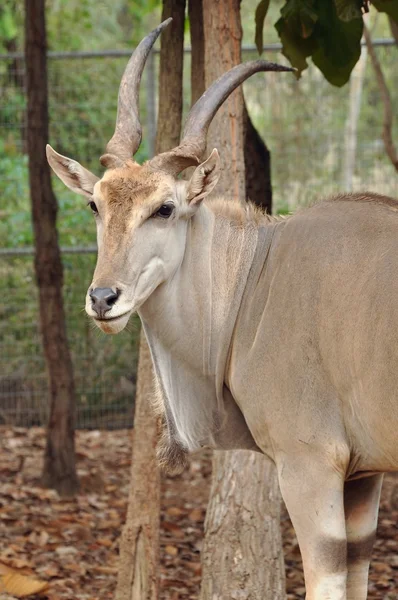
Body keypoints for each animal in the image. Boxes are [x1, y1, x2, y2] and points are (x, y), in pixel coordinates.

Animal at [47, 18, 398, 600]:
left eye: (165, 208)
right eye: (95, 204)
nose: (103, 299)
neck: (258, 274)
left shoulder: (310, 466)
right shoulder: (363, 477)